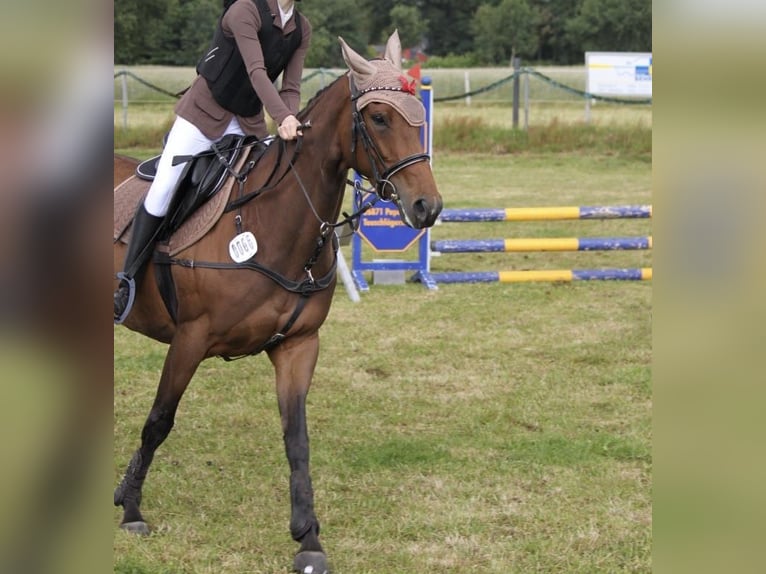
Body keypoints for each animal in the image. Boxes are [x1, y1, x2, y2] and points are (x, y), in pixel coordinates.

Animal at [114, 32, 444, 574]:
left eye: (420, 116)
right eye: (378, 118)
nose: (427, 207)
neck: (273, 223)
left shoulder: (297, 346)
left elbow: (297, 439)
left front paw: (308, 538)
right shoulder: (189, 339)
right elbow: (159, 420)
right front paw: (132, 509)